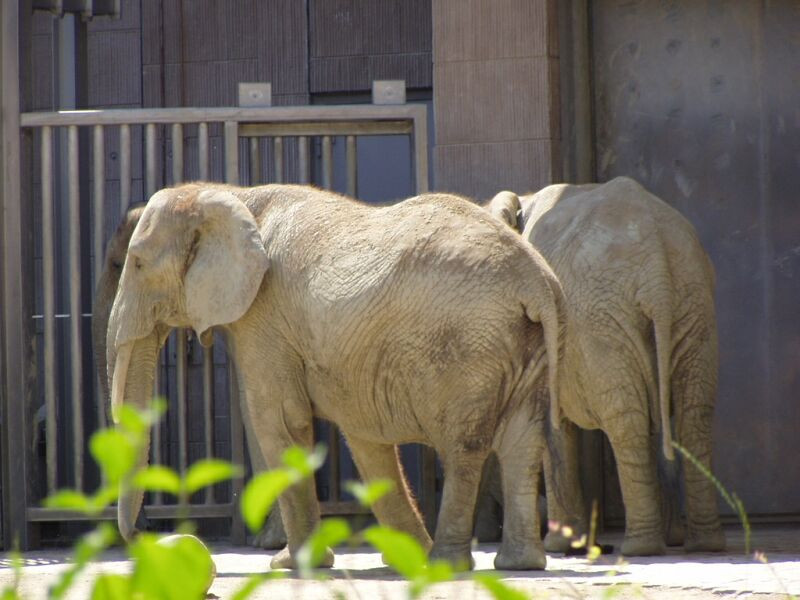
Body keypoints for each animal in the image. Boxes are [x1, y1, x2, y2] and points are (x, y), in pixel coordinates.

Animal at [108, 183, 568, 572]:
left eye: (136, 263)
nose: (142, 535)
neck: (228, 193)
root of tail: (535, 279)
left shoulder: (264, 316)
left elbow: (280, 421)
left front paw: (289, 565)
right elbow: (363, 436)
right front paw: (406, 556)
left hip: (469, 343)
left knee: (465, 446)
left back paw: (448, 564)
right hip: (526, 346)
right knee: (523, 443)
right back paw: (518, 565)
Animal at [488, 176, 724, 556]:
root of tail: (657, 264)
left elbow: (553, 421)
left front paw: (560, 545)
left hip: (601, 319)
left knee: (628, 421)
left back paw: (641, 548)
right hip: (693, 304)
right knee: (693, 414)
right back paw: (702, 544)